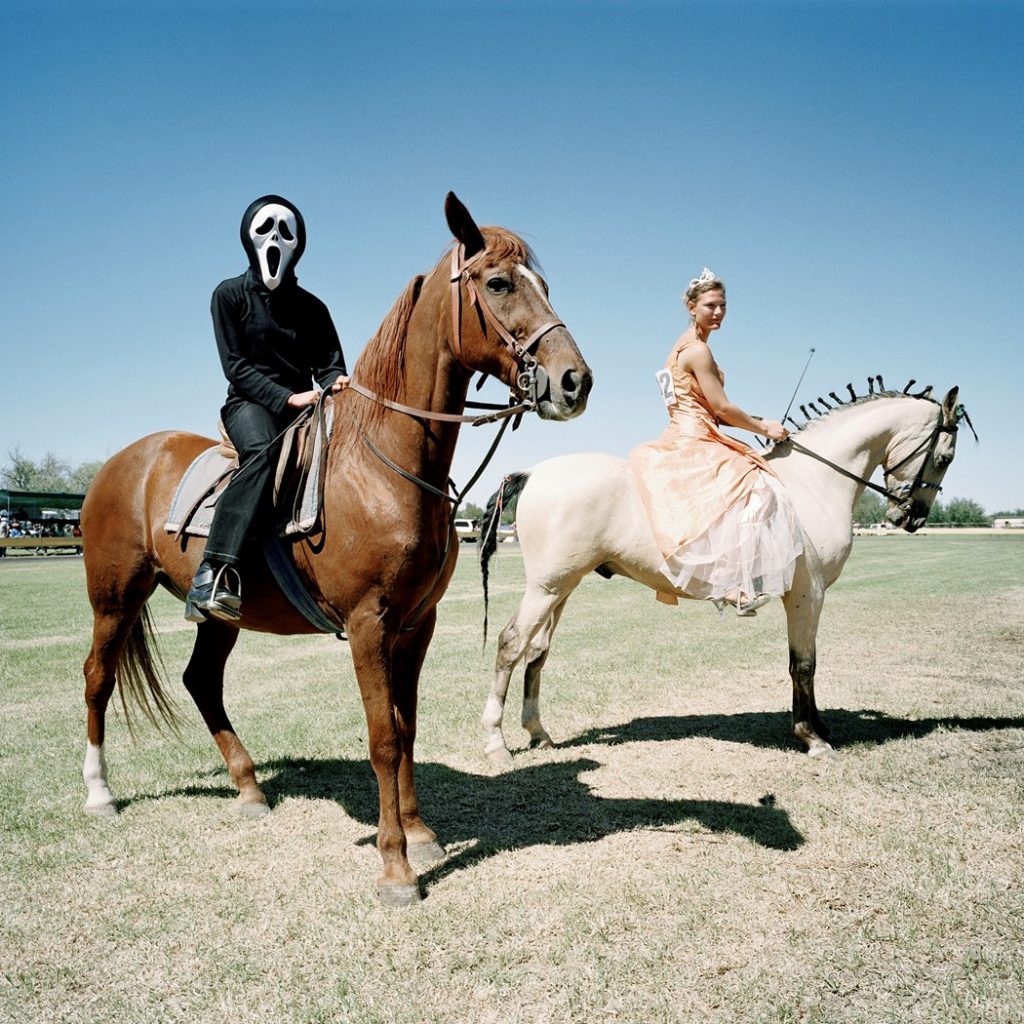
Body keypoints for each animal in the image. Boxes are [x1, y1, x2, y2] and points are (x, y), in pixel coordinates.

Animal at [81, 193, 593, 905]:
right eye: (497, 284)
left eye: (542, 284)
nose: (575, 381)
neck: (384, 466)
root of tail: (122, 460)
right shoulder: (368, 623)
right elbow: (382, 738)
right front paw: (396, 867)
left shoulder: (415, 624)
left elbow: (406, 728)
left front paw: (420, 833)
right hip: (115, 598)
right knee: (97, 680)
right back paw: (99, 793)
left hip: (218, 614)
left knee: (200, 680)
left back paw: (248, 786)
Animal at [479, 385, 966, 761]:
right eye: (945, 456)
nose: (912, 518)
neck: (812, 482)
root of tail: (534, 471)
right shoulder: (808, 594)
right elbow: (804, 664)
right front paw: (812, 737)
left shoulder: (804, 595)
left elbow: (802, 663)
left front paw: (819, 727)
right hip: (546, 587)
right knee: (511, 644)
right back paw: (496, 743)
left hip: (563, 587)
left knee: (537, 650)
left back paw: (539, 733)